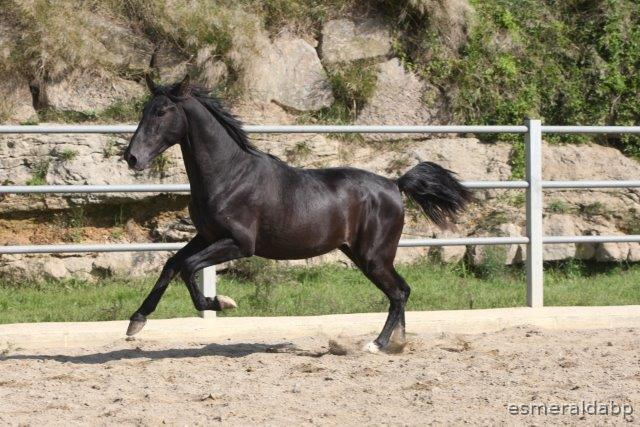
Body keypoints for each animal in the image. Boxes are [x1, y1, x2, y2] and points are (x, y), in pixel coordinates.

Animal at [122, 74, 472, 353]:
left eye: (162, 112)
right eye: (144, 110)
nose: (131, 157)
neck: (230, 175)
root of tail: (394, 184)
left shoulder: (239, 243)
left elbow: (189, 268)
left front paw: (223, 303)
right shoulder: (206, 236)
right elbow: (172, 264)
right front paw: (136, 321)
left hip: (374, 257)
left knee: (399, 292)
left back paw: (377, 344)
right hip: (364, 256)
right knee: (402, 291)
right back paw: (397, 343)